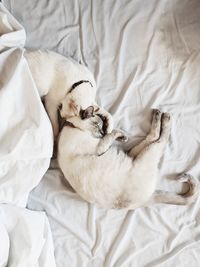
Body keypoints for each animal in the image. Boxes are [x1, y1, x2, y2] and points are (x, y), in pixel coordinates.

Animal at [57, 108, 198, 210]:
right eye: (98, 125)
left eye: (102, 126)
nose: (102, 133)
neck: (73, 127)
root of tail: (145, 200)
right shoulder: (100, 147)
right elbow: (113, 133)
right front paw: (118, 134)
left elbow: (112, 133)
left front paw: (122, 138)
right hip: (144, 156)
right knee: (157, 138)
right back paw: (164, 116)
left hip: (133, 154)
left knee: (151, 138)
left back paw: (158, 114)